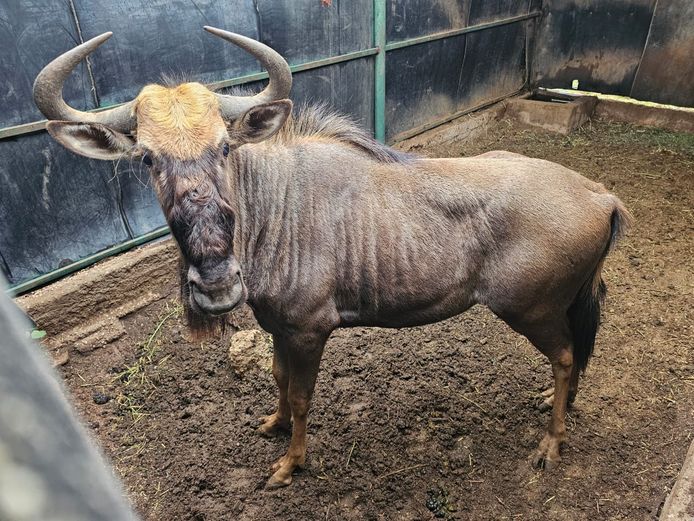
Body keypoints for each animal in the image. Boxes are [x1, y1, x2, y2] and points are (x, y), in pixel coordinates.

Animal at [34, 27, 631, 488]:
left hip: (531, 311)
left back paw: (550, 445)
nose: (217, 284)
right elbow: (277, 380)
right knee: (576, 353)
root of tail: (601, 195)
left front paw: (290, 463)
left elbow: (302, 396)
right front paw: (273, 424)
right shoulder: (277, 327)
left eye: (224, 147)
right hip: (559, 307)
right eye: (147, 157)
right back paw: (558, 407)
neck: (274, 204)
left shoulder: (309, 330)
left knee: (565, 356)